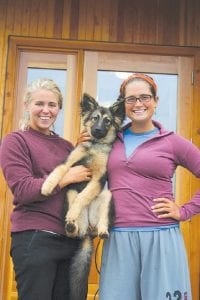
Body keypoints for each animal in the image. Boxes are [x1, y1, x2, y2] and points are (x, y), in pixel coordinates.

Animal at [40, 94, 125, 300]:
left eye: (108, 121)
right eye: (95, 118)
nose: (98, 130)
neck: (94, 146)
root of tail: (88, 231)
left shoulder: (98, 179)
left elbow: (83, 197)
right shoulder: (69, 162)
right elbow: (59, 170)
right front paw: (47, 186)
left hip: (107, 195)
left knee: (101, 220)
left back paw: (101, 229)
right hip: (69, 193)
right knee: (72, 228)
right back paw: (71, 224)